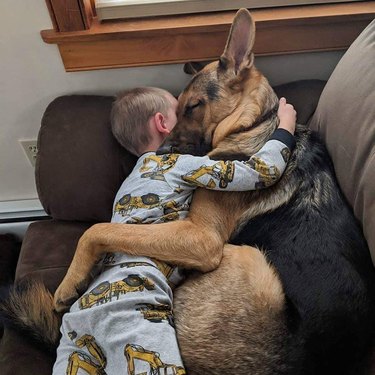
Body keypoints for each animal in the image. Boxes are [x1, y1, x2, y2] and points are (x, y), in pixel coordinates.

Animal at [2, 8, 375, 375]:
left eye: (194, 106)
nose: (161, 151)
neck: (255, 122)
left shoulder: (203, 237)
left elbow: (97, 229)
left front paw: (69, 282)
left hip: (245, 257)